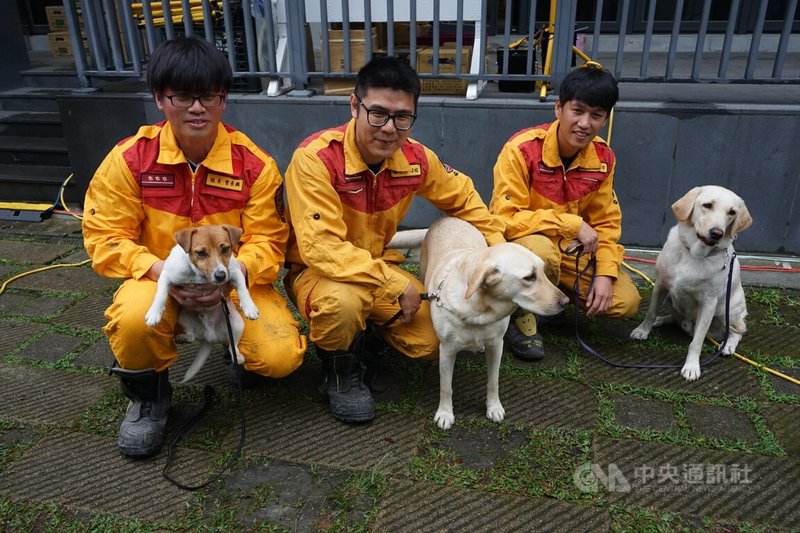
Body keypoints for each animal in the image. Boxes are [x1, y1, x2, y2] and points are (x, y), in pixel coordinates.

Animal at [143, 224, 256, 382]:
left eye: (225, 249)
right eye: (201, 253)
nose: (220, 276)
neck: (199, 275)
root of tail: (210, 336)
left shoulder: (234, 272)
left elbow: (242, 288)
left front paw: (249, 307)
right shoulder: (166, 276)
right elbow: (161, 295)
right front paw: (154, 313)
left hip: (236, 324)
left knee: (232, 346)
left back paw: (238, 357)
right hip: (183, 317)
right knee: (191, 336)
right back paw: (182, 338)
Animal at [390, 216, 568, 428]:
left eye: (542, 270)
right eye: (529, 277)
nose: (566, 302)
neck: (479, 311)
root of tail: (446, 218)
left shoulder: (497, 346)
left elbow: (493, 381)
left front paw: (494, 407)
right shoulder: (447, 351)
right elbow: (446, 387)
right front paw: (445, 413)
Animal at [628, 185, 752, 380]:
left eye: (732, 212)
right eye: (707, 205)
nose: (717, 233)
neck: (694, 254)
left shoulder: (708, 303)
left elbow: (697, 341)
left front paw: (692, 366)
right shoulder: (661, 284)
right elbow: (651, 312)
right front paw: (643, 330)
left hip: (728, 312)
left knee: (738, 331)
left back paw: (728, 345)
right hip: (670, 298)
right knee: (675, 317)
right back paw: (662, 320)